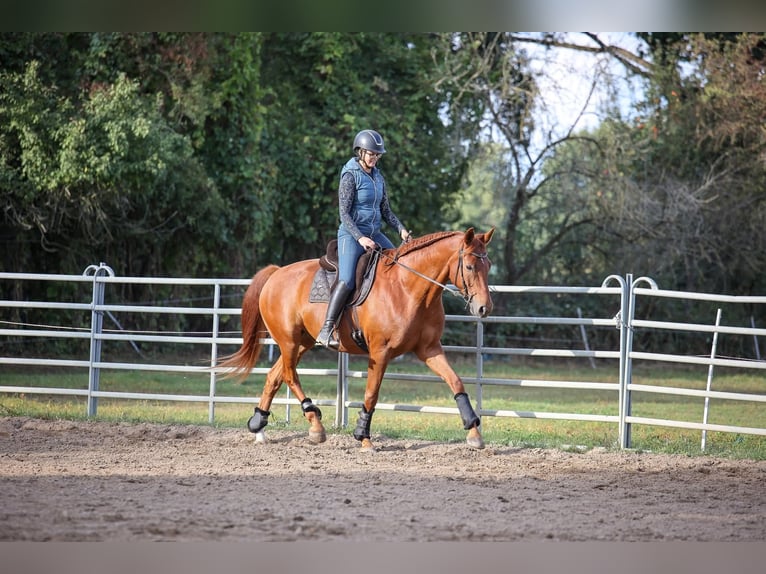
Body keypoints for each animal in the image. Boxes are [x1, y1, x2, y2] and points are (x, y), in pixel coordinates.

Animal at [218, 227, 495, 450]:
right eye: (469, 266)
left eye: (489, 266)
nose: (484, 308)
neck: (407, 287)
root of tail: (276, 274)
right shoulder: (380, 353)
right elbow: (371, 394)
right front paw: (364, 437)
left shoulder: (429, 349)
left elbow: (456, 382)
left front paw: (474, 432)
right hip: (289, 341)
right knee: (288, 375)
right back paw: (315, 426)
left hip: (303, 343)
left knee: (274, 376)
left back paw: (259, 426)